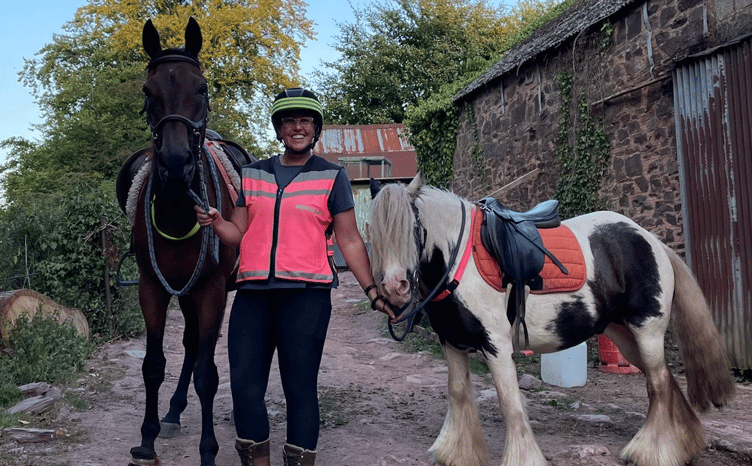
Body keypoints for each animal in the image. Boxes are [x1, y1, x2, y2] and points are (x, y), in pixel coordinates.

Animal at [115, 18, 250, 466]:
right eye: (147, 92)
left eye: (202, 88)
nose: (176, 163)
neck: (178, 211)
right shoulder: (152, 287)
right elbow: (153, 364)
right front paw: (148, 438)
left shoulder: (211, 289)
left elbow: (208, 373)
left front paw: (208, 450)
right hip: (184, 291)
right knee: (190, 344)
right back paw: (173, 411)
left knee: (202, 350)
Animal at [368, 173, 736, 466]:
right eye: (371, 231)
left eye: (413, 227)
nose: (394, 288)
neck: (460, 260)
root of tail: (651, 240)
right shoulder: (452, 342)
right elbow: (458, 393)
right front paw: (455, 453)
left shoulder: (496, 345)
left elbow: (511, 403)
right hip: (625, 337)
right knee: (663, 381)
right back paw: (683, 445)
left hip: (647, 331)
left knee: (658, 384)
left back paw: (650, 452)